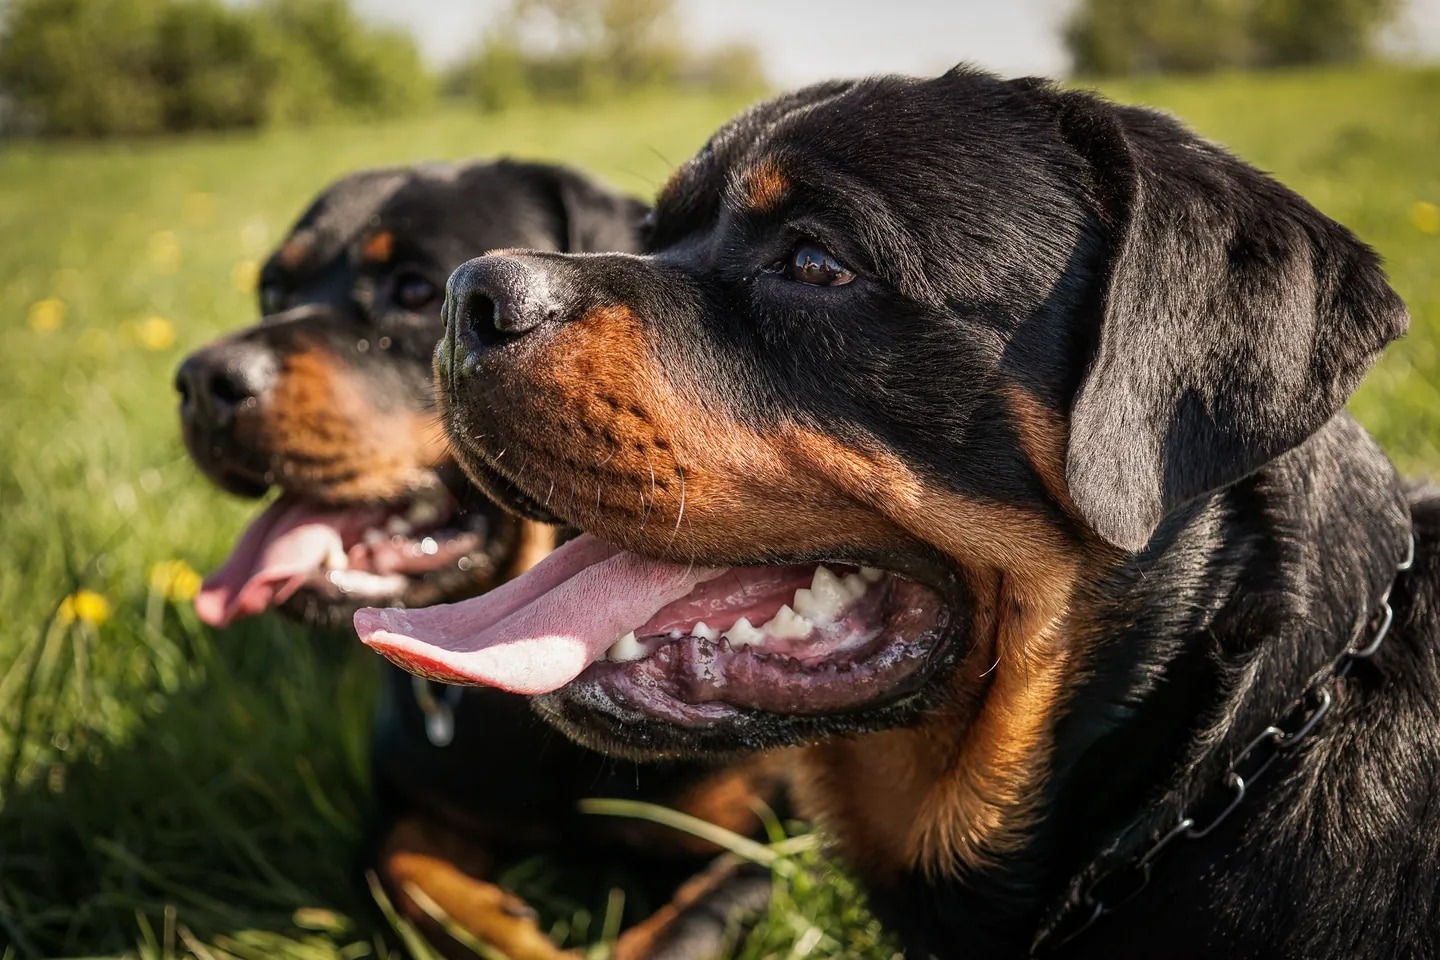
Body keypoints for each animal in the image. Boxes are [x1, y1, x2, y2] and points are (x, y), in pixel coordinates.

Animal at [182, 161, 789, 960]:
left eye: (415, 291)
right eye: (274, 291)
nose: (200, 382)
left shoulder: (768, 842)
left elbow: (686, 927)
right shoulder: (409, 803)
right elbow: (403, 871)